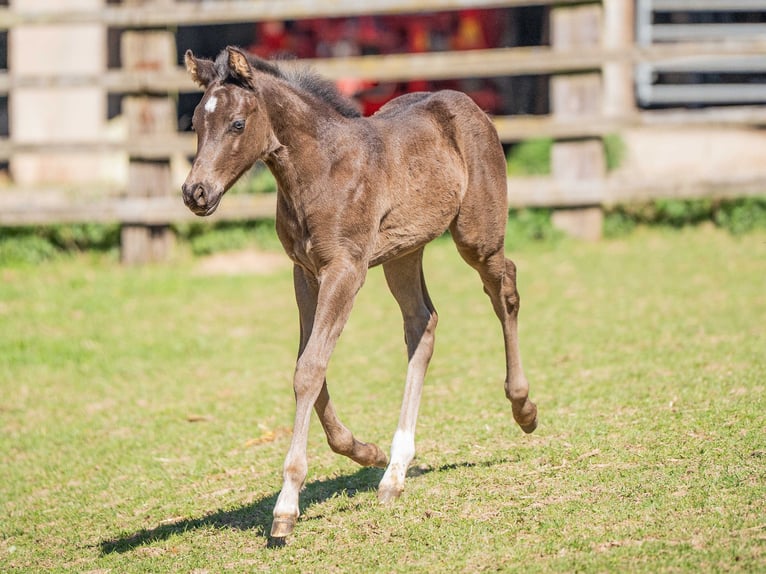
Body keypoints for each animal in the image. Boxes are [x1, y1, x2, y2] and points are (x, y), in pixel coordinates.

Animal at [182, 46, 538, 540]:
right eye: (196, 122)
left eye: (237, 124)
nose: (195, 193)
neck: (320, 170)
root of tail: (467, 103)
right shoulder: (305, 272)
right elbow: (308, 365)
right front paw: (364, 451)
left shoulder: (345, 270)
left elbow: (310, 369)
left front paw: (286, 505)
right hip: (403, 251)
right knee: (422, 324)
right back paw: (394, 472)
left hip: (476, 236)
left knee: (505, 289)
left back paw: (524, 408)